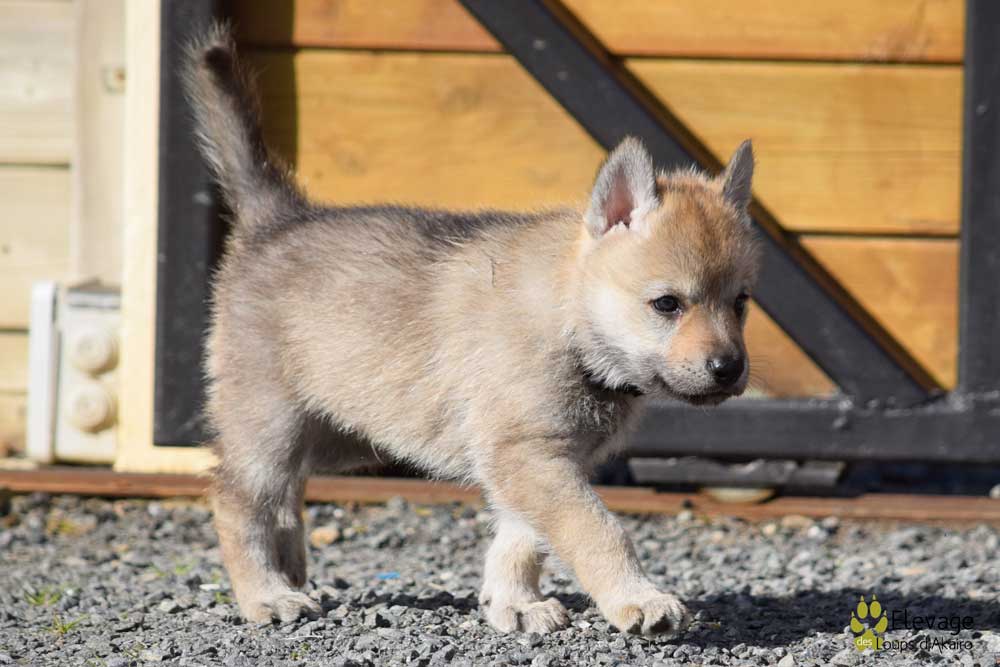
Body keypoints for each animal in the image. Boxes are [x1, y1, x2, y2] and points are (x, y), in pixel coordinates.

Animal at [183, 24, 760, 637]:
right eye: (667, 304)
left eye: (741, 303)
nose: (729, 369)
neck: (566, 321)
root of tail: (276, 219)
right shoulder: (530, 458)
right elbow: (597, 529)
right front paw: (637, 597)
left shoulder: (535, 466)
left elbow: (521, 541)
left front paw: (514, 603)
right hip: (268, 429)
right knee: (237, 500)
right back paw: (265, 594)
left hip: (330, 435)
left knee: (288, 495)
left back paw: (289, 570)